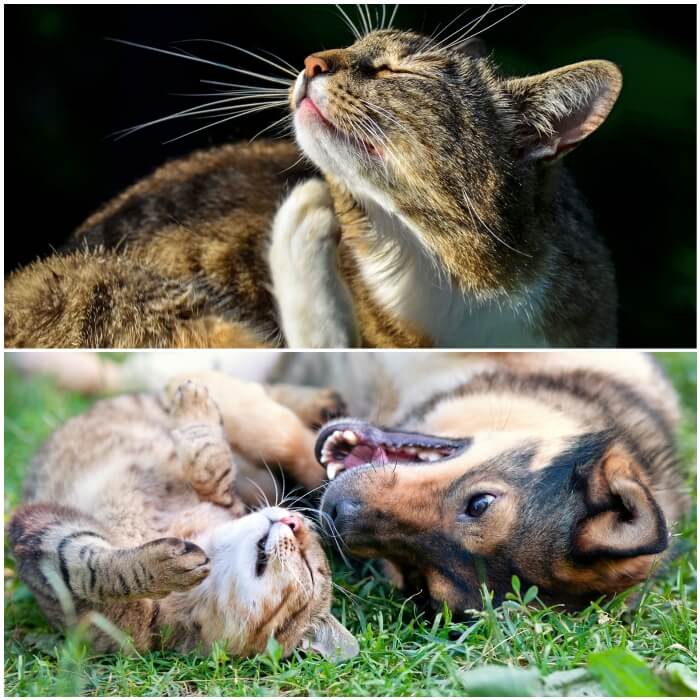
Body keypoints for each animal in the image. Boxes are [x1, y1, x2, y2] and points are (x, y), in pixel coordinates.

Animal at [9, 380, 360, 660]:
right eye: (308, 531)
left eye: (310, 569)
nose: (294, 520)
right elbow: (212, 465)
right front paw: (195, 408)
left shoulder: (40, 540)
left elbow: (93, 572)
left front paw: (162, 568)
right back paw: (321, 402)